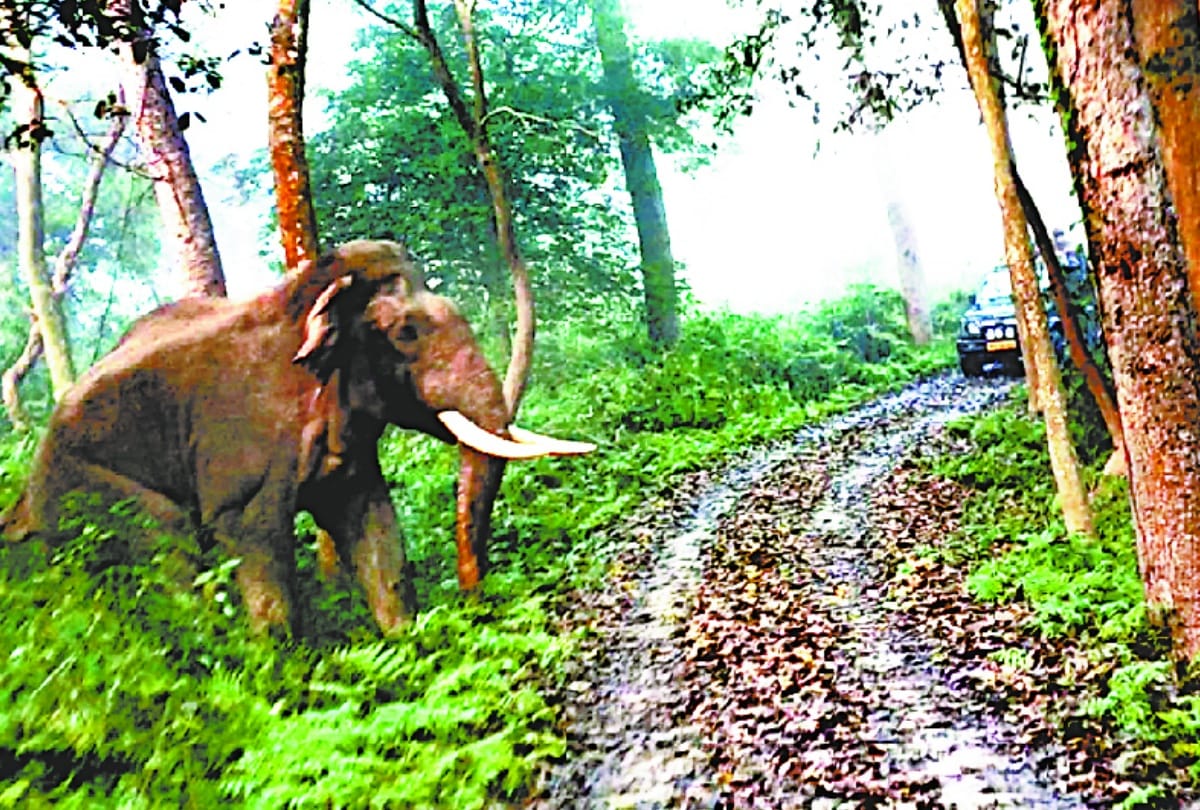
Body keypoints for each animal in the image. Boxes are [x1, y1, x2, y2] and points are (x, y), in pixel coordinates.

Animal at [1, 239, 593, 636]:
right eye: (406, 333)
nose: (477, 599)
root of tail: (23, 500)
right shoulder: (239, 444)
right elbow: (250, 536)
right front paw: (283, 681)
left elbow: (373, 525)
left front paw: (407, 643)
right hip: (87, 492)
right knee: (170, 545)